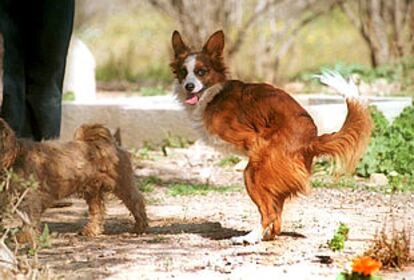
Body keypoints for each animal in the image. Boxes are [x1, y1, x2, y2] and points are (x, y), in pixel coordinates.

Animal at [0, 118, 148, 238]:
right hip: (93, 191)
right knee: (98, 210)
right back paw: (91, 230)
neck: (15, 155)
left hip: (121, 184)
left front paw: (25, 238)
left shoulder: (30, 198)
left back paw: (140, 227)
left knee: (137, 201)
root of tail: (104, 142)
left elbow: (29, 219)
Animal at [170, 30, 370, 244]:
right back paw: (266, 235)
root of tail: (311, 139)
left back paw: (249, 238)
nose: (189, 86)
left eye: (201, 71)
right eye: (183, 72)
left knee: (269, 213)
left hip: (254, 173)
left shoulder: (249, 137)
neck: (213, 94)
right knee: (277, 214)